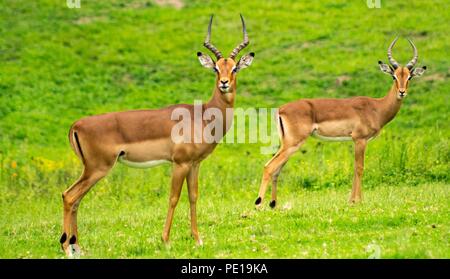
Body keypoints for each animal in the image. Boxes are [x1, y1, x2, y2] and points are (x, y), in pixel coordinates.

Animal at [60, 14, 255, 258]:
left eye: (235, 68)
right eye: (216, 69)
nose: (224, 83)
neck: (202, 116)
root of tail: (76, 125)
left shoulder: (194, 164)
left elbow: (193, 196)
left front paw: (198, 240)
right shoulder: (179, 163)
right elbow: (173, 198)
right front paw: (166, 241)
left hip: (90, 170)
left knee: (75, 199)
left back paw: (77, 247)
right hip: (97, 168)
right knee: (69, 196)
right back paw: (67, 248)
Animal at [255, 36, 428, 208]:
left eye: (409, 76)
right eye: (394, 76)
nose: (402, 92)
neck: (377, 108)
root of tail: (281, 109)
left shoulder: (356, 141)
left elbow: (355, 168)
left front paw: (351, 200)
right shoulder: (360, 140)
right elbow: (360, 168)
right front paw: (358, 201)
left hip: (287, 144)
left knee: (276, 169)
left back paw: (273, 204)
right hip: (293, 144)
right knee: (269, 167)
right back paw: (258, 204)